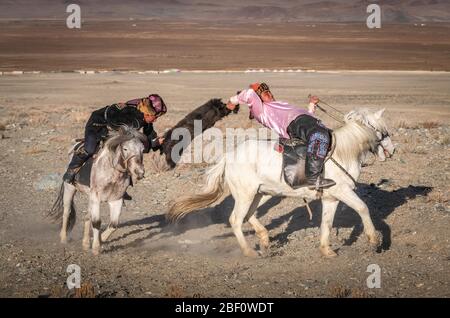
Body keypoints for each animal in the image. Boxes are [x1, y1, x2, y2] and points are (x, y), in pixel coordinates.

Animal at [169, 108, 394, 258]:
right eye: (383, 130)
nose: (392, 150)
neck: (342, 152)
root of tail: (228, 156)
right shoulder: (343, 191)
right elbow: (363, 208)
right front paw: (374, 241)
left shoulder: (331, 198)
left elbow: (327, 223)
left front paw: (327, 250)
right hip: (245, 194)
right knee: (236, 220)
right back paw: (249, 251)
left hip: (261, 193)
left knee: (250, 215)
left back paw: (265, 239)